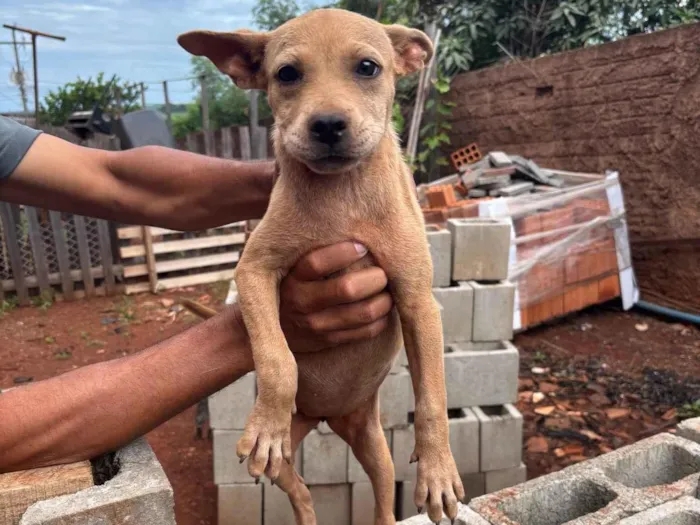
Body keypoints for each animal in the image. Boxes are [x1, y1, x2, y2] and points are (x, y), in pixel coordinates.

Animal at [179, 9, 464, 524]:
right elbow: (277, 359)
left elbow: (433, 396)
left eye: (368, 67)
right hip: (289, 449)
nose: (328, 125)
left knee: (381, 497)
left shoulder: (418, 301)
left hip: (375, 446)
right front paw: (267, 421)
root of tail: (331, 417)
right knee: (297, 487)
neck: (341, 195)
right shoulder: (254, 270)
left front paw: (437, 472)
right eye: (287, 74)